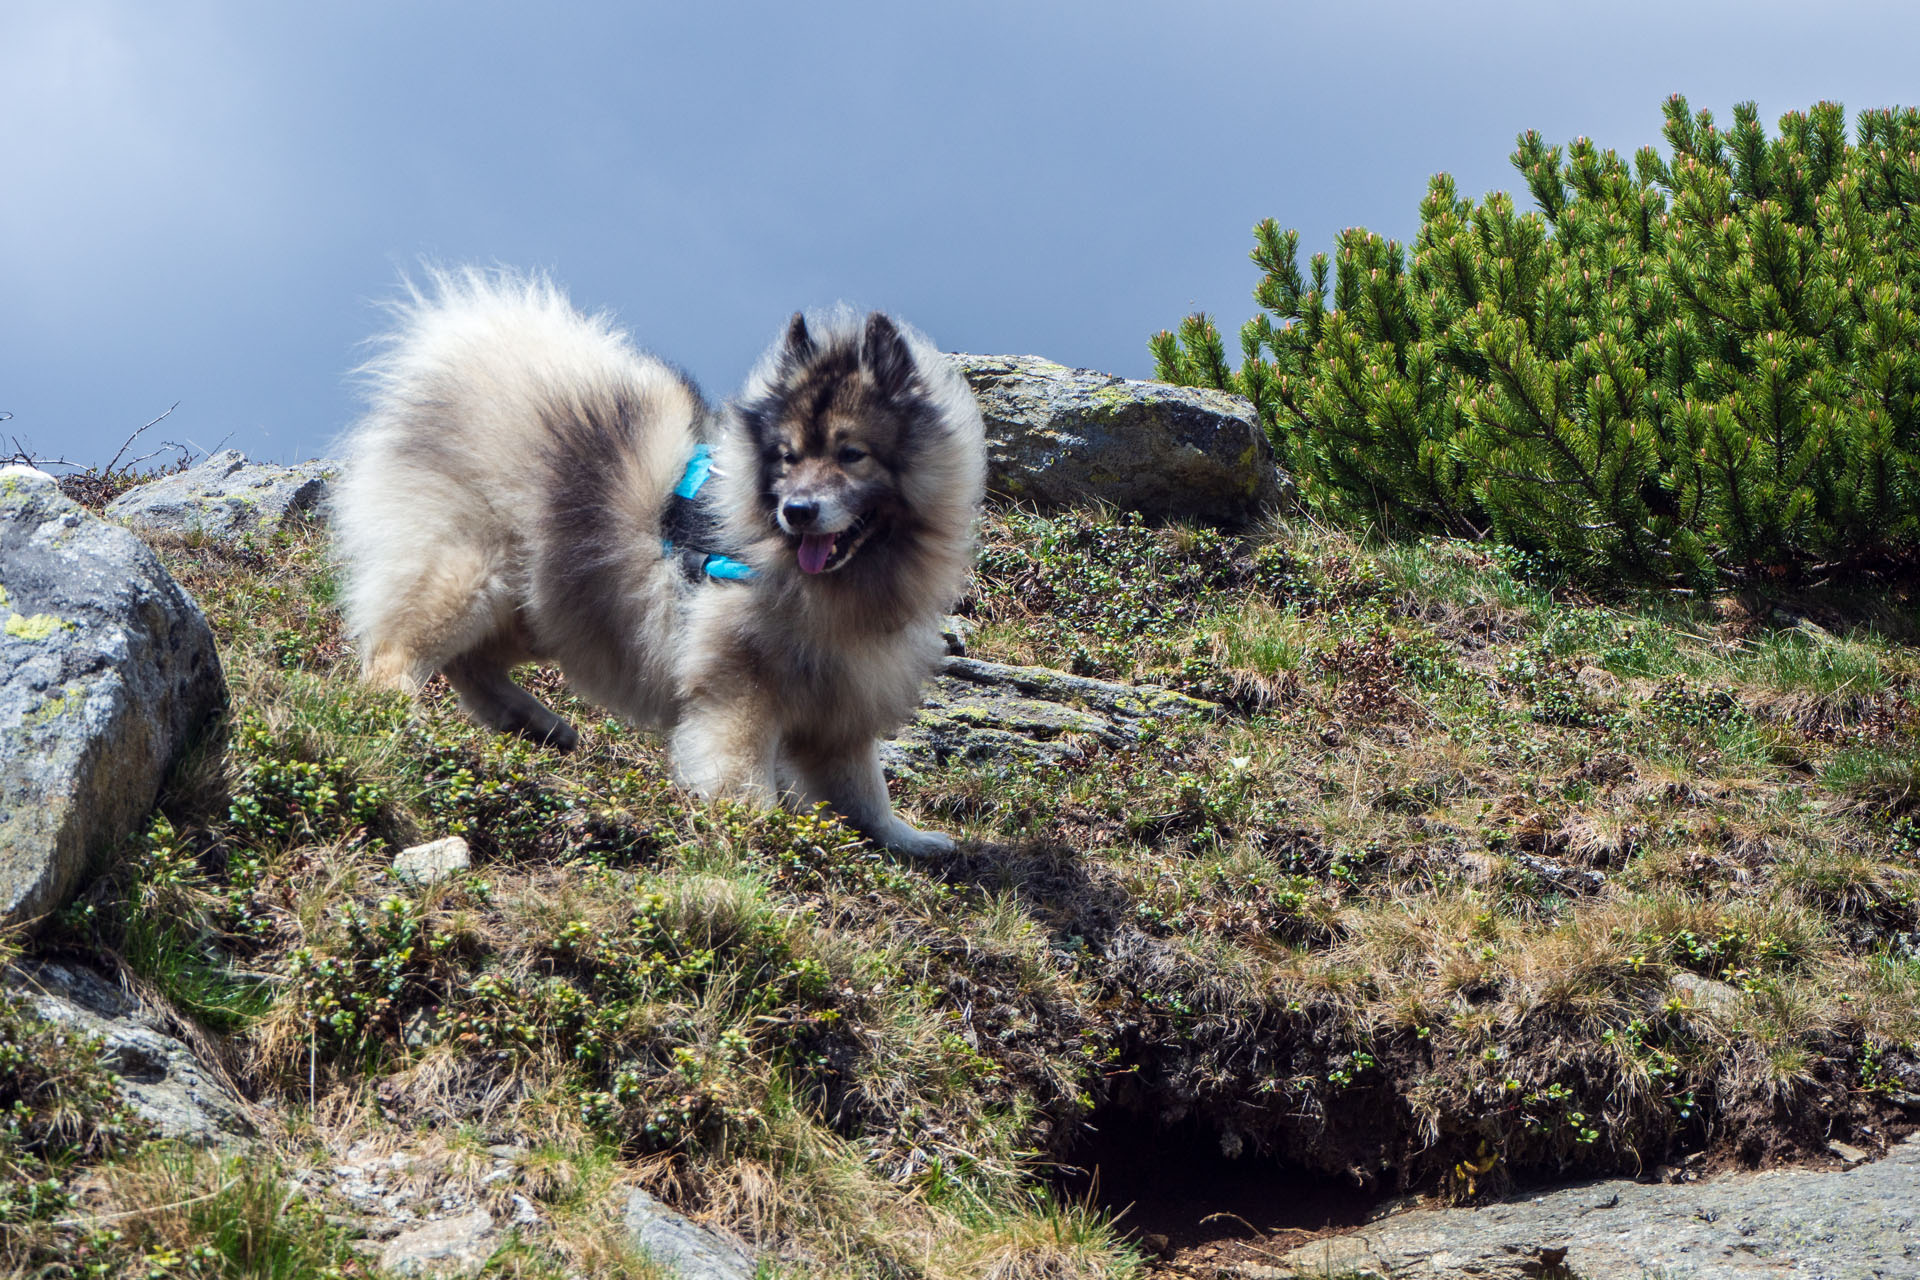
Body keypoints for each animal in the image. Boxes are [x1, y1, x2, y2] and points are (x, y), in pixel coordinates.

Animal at [330, 268, 983, 852]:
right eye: (787, 457)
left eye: (852, 455)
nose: (797, 511)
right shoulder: (740, 685)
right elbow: (742, 765)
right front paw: (758, 825)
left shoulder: (842, 702)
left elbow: (865, 791)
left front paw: (908, 840)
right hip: (473, 575)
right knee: (400, 651)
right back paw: (404, 709)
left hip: (549, 602)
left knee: (472, 664)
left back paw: (533, 722)